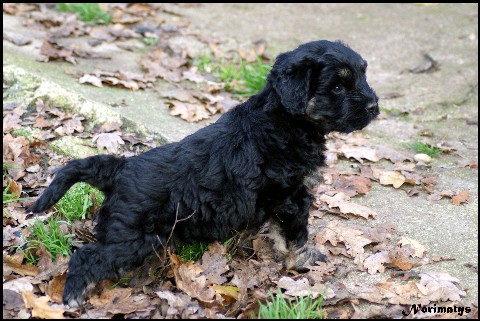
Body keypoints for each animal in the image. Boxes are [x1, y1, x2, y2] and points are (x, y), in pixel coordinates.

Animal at [27, 40, 378, 304]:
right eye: (337, 86)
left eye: (362, 75)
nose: (374, 106)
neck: (285, 120)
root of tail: (120, 168)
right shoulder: (293, 197)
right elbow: (296, 236)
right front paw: (305, 262)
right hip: (129, 239)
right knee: (87, 257)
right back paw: (73, 296)